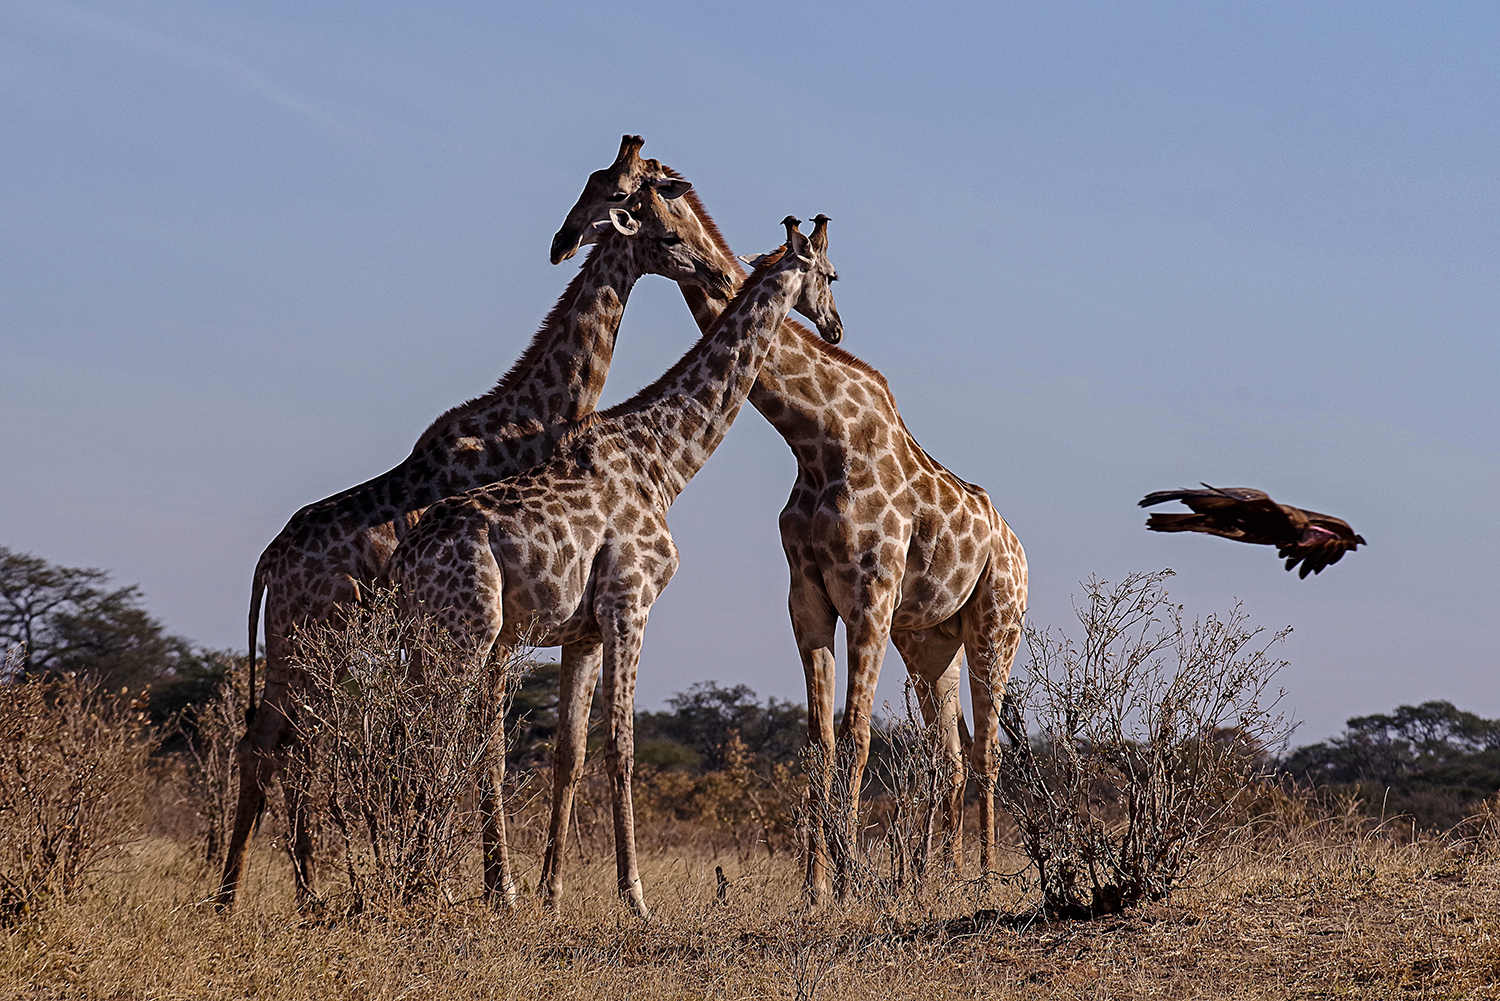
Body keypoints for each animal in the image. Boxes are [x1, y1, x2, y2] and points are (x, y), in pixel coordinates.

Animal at [216, 142, 732, 918]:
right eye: (665, 223)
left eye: (611, 191)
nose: (719, 271)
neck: (536, 414)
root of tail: (269, 561)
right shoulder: (502, 618)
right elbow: (480, 743)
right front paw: (497, 888)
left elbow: (482, 741)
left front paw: (491, 883)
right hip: (315, 639)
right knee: (286, 744)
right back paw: (290, 893)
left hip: (296, 644)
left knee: (271, 742)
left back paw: (258, 892)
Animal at [384, 216, 846, 918]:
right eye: (830, 274)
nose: (837, 325)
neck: (665, 463)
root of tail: (405, 560)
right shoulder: (629, 604)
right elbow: (621, 747)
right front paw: (634, 896)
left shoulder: (584, 630)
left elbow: (570, 750)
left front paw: (551, 893)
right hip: (466, 631)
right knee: (434, 738)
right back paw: (429, 888)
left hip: (433, 636)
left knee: (416, 734)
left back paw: (426, 885)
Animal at [552, 144, 1032, 906]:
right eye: (595, 185)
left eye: (626, 195)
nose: (564, 241)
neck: (818, 438)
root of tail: (1016, 546)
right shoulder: (807, 595)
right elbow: (820, 740)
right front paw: (815, 887)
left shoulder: (869, 596)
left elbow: (858, 734)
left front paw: (848, 879)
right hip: (931, 641)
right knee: (948, 757)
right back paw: (938, 878)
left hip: (995, 625)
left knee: (986, 750)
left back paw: (983, 878)